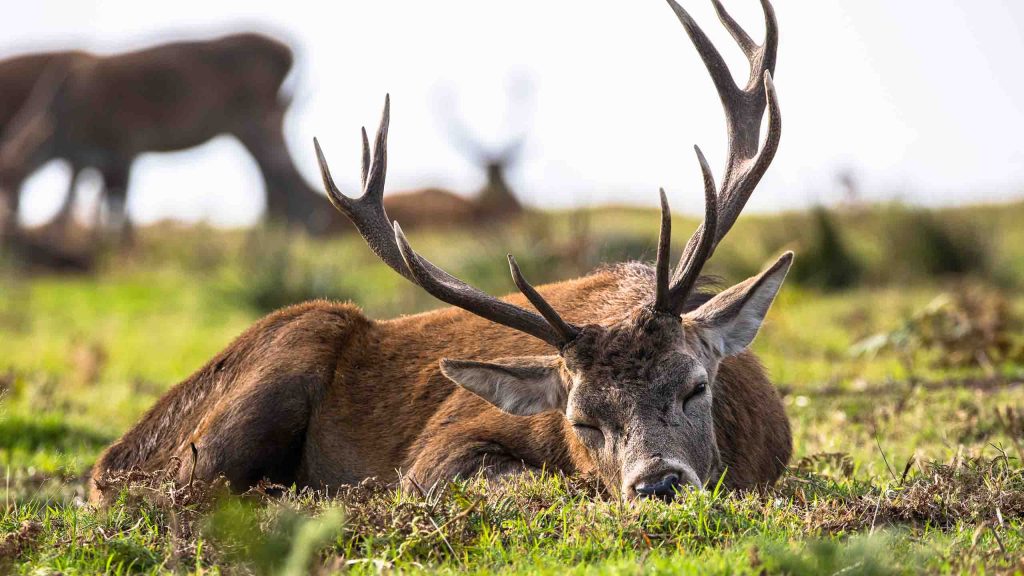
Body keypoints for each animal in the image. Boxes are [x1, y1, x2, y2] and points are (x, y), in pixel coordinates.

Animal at [0, 33, 332, 241]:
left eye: (11, 175)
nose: (9, 225)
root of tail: (291, 52)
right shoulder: (94, 157)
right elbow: (89, 200)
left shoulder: (124, 144)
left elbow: (115, 201)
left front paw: (117, 250)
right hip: (250, 127)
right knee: (278, 179)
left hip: (257, 122)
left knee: (285, 178)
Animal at [90, 0, 787, 503]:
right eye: (582, 419)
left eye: (696, 386)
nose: (658, 484)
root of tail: (107, 463)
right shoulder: (437, 452)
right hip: (284, 356)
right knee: (182, 490)